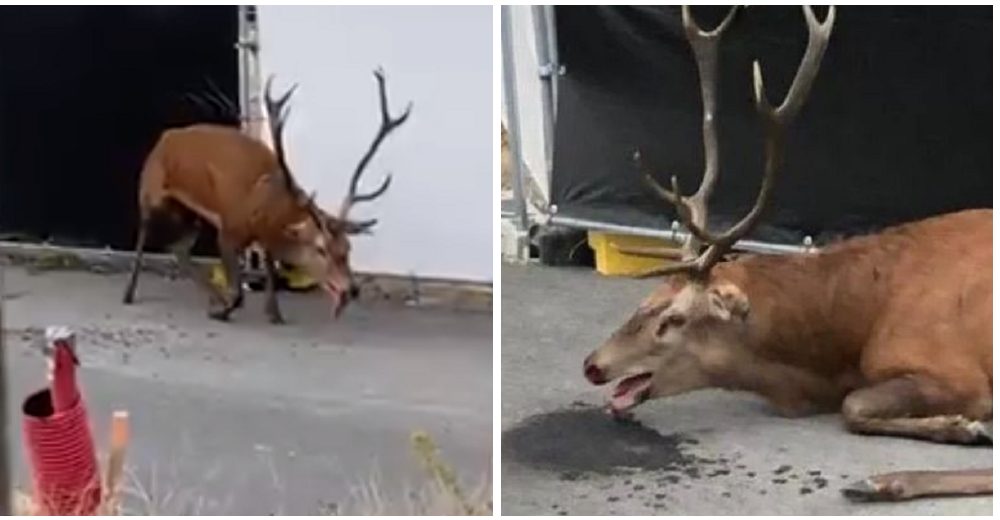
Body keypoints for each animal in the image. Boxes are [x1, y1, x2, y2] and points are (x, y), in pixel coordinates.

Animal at [123, 69, 412, 320]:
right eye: (321, 249)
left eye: (348, 248)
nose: (351, 289)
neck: (268, 210)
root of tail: (165, 137)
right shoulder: (229, 228)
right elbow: (239, 291)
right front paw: (226, 309)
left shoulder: (264, 236)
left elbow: (271, 267)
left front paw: (274, 313)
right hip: (150, 188)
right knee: (146, 233)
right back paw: (130, 293)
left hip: (188, 212)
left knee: (179, 249)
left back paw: (212, 297)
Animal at [584, 7, 988, 504]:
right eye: (646, 300)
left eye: (674, 318)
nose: (593, 365)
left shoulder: (954, 368)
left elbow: (853, 406)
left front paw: (964, 425)